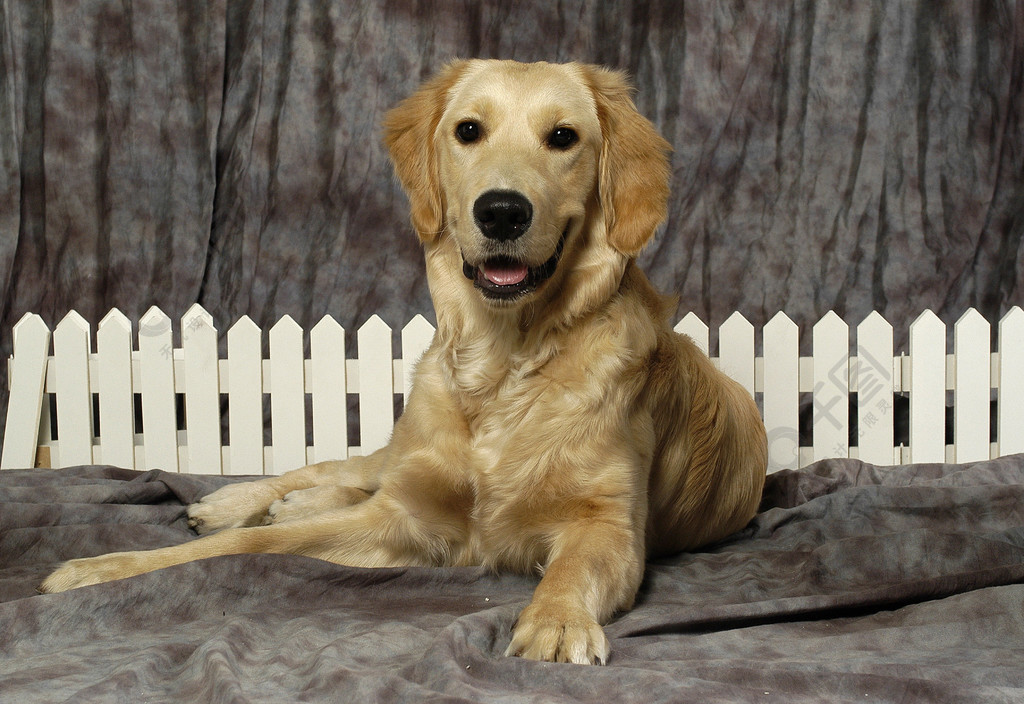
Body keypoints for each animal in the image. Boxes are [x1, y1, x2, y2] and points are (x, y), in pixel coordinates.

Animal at [41, 60, 770, 667]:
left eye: (563, 137)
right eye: (468, 130)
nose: (501, 211)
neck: (503, 364)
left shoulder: (609, 526)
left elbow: (570, 570)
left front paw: (557, 624)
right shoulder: (405, 516)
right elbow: (242, 548)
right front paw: (104, 569)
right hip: (399, 455)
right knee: (337, 471)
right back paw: (241, 502)